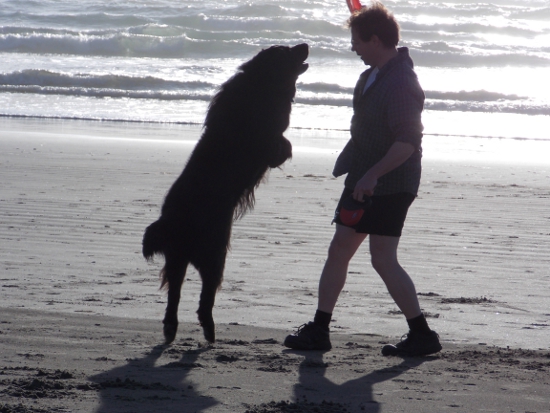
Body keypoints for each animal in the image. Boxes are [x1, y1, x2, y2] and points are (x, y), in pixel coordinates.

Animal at [142, 42, 310, 344]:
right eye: (285, 50)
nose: (305, 44)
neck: (261, 83)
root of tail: (172, 221)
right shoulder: (268, 134)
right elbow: (282, 142)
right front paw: (283, 151)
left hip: (177, 257)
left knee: (174, 294)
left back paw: (172, 328)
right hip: (215, 252)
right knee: (204, 297)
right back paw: (209, 330)